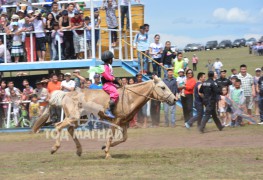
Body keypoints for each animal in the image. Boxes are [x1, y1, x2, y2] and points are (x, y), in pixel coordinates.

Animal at [33, 76, 177, 159]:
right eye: (163, 87)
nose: (175, 99)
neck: (129, 97)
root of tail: (65, 94)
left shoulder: (124, 123)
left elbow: (124, 138)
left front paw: (104, 147)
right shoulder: (115, 121)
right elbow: (111, 137)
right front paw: (107, 152)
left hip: (80, 119)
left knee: (70, 130)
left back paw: (79, 151)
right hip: (73, 117)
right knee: (58, 126)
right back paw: (54, 148)